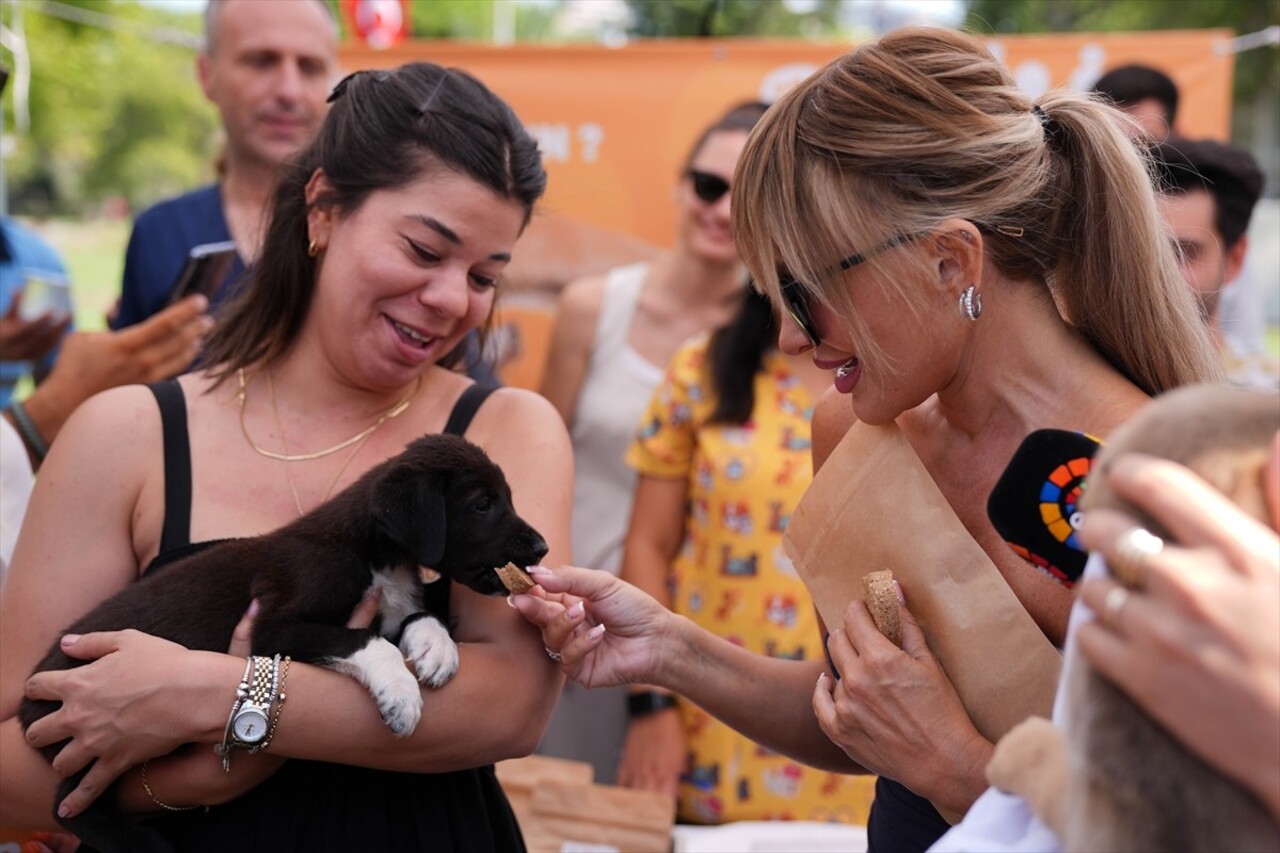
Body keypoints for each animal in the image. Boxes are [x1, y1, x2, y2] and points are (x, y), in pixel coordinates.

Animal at [16, 432, 545, 850]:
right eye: (482, 504)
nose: (542, 547)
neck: (375, 553)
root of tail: (26, 697)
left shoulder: (388, 607)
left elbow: (416, 616)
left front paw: (436, 647)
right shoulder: (275, 627)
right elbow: (366, 640)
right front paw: (400, 693)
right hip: (88, 747)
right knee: (67, 805)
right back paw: (142, 844)